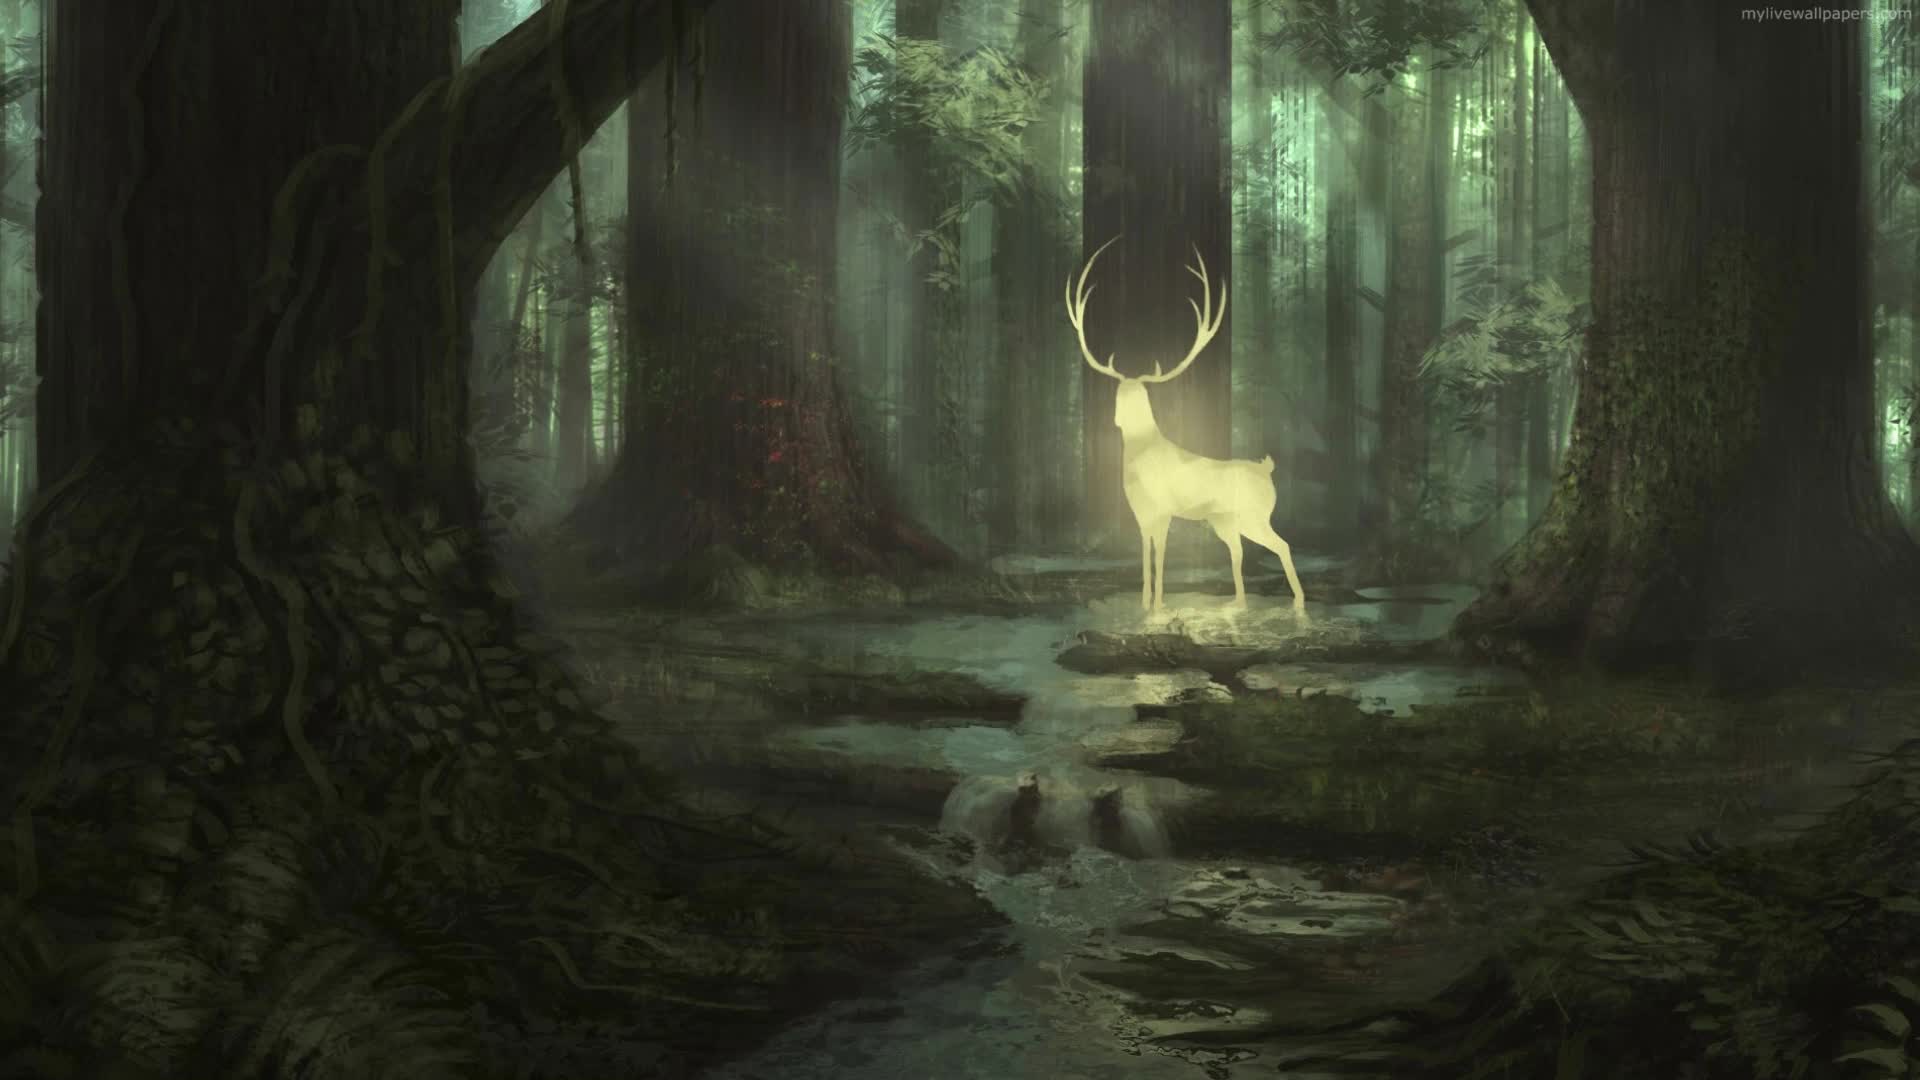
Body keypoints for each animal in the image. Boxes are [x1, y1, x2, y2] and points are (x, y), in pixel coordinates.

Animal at [1067, 237, 1307, 615]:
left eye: (1137, 396)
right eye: (1119, 393)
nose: (1116, 418)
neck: (1139, 457)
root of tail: (1267, 469)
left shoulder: (1164, 511)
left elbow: (1162, 554)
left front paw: (1158, 606)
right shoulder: (1141, 514)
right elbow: (1144, 553)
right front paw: (1144, 602)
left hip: (1255, 516)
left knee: (1281, 544)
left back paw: (1298, 603)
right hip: (1227, 521)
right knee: (1238, 551)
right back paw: (1238, 603)